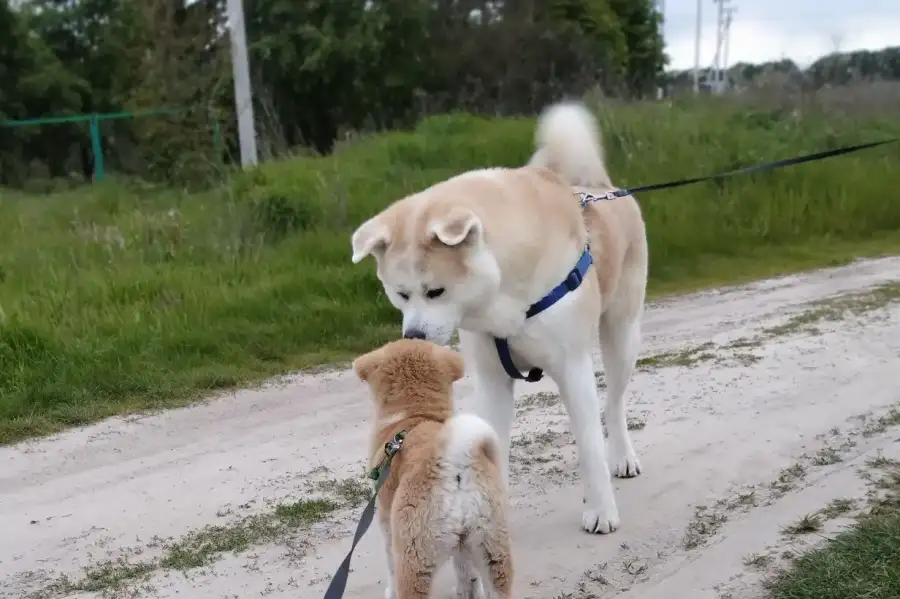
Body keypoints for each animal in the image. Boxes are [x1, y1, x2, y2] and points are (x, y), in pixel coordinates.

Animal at [352, 99, 648, 536]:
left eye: (435, 292)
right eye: (401, 294)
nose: (414, 336)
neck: (505, 294)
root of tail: (596, 187)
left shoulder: (573, 369)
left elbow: (590, 447)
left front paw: (600, 511)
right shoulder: (492, 381)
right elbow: (490, 447)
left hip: (621, 337)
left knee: (613, 403)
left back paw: (622, 457)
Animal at [354, 338, 512, 599]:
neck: (416, 414)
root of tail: (454, 461)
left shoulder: (387, 524)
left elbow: (389, 567)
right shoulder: (463, 546)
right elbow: (466, 573)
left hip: (415, 560)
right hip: (493, 552)